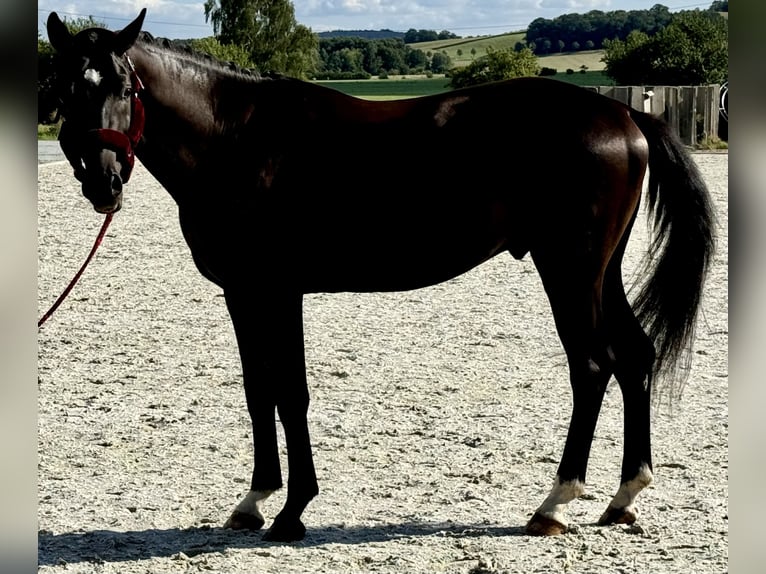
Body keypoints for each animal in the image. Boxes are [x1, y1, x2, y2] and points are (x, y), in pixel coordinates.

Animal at [48, 10, 716, 544]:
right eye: (64, 86)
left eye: (123, 85)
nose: (103, 180)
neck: (236, 138)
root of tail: (622, 111)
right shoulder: (241, 293)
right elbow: (258, 390)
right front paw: (254, 500)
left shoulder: (278, 291)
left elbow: (291, 392)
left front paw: (293, 510)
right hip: (601, 272)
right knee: (635, 356)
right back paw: (623, 497)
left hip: (570, 271)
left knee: (593, 366)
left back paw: (553, 503)